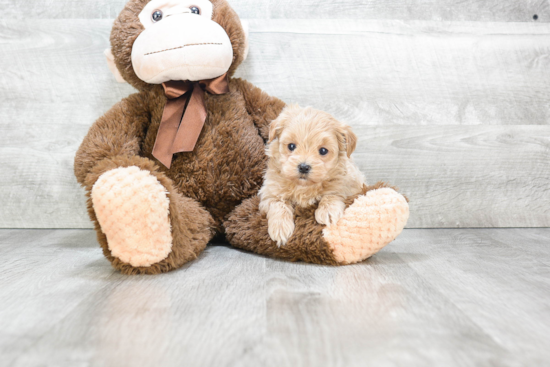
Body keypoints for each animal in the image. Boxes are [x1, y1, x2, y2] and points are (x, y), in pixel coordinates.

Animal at [260, 105, 366, 246]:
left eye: (323, 150)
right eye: (291, 146)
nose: (303, 167)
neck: (304, 186)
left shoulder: (349, 183)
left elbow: (333, 193)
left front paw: (328, 211)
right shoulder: (269, 192)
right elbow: (278, 204)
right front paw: (280, 227)